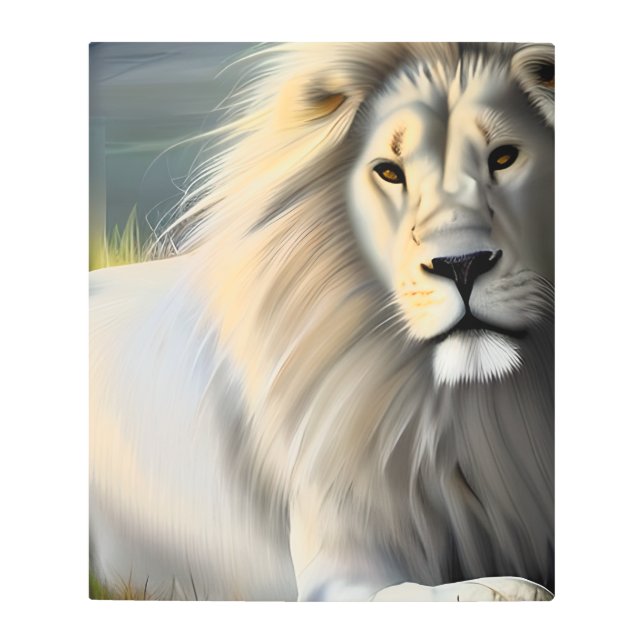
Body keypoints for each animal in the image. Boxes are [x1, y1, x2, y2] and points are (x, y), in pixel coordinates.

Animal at [90, 42, 554, 601]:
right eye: (389, 172)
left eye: (504, 157)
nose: (461, 264)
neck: (474, 410)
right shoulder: (340, 573)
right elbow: (482, 591)